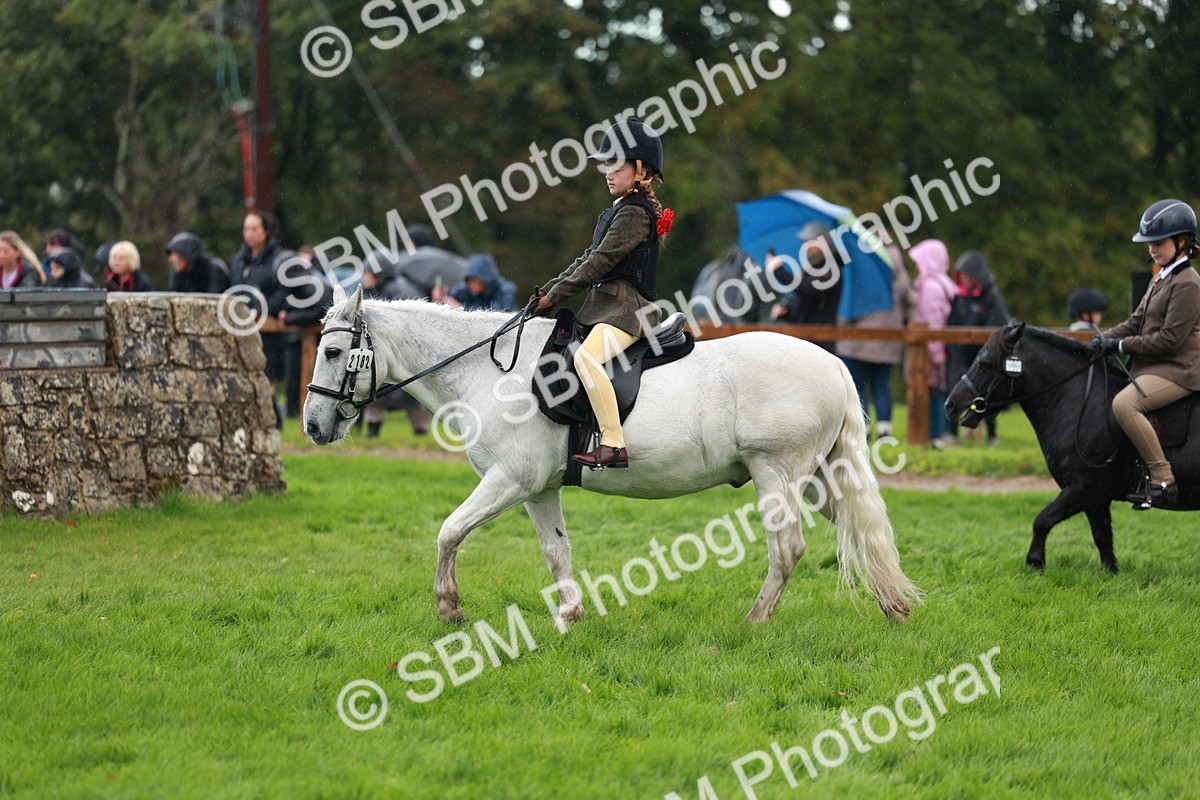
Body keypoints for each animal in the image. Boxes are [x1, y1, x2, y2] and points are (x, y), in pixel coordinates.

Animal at [303, 284, 919, 625]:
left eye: (333, 352)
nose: (311, 425)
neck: (487, 371)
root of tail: (831, 361)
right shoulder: (539, 490)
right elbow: (557, 553)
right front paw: (571, 615)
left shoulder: (508, 481)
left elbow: (449, 531)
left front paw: (449, 607)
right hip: (816, 481)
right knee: (859, 529)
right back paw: (894, 605)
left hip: (777, 475)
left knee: (787, 549)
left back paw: (755, 620)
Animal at [944, 321, 1200, 574]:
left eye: (986, 364)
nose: (951, 405)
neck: (1082, 405)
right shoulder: (1095, 498)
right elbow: (1102, 538)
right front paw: (1111, 576)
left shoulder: (1082, 488)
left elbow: (1042, 520)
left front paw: (1035, 563)